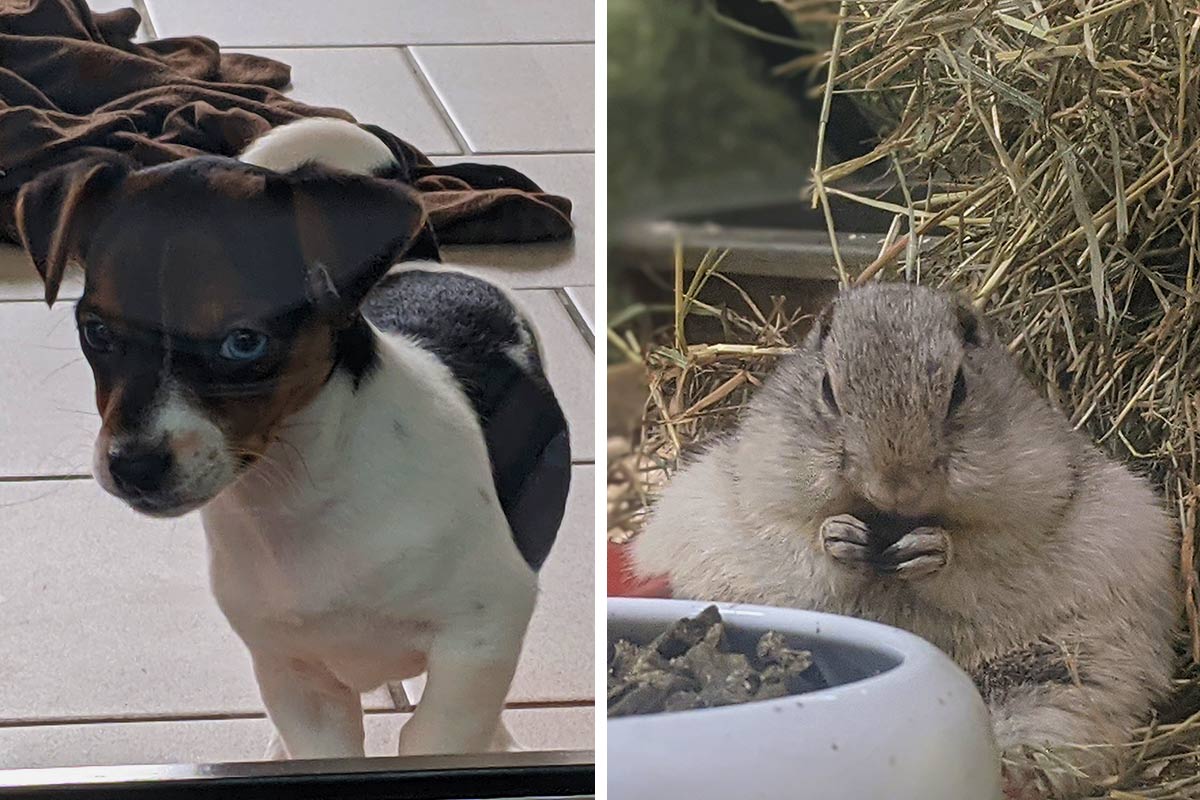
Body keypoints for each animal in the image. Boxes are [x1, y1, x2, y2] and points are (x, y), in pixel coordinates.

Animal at [12, 117, 576, 758]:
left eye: (244, 342)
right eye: (97, 331)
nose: (133, 467)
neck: (299, 494)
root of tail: (424, 264)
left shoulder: (483, 632)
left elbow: (436, 732)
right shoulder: (293, 673)